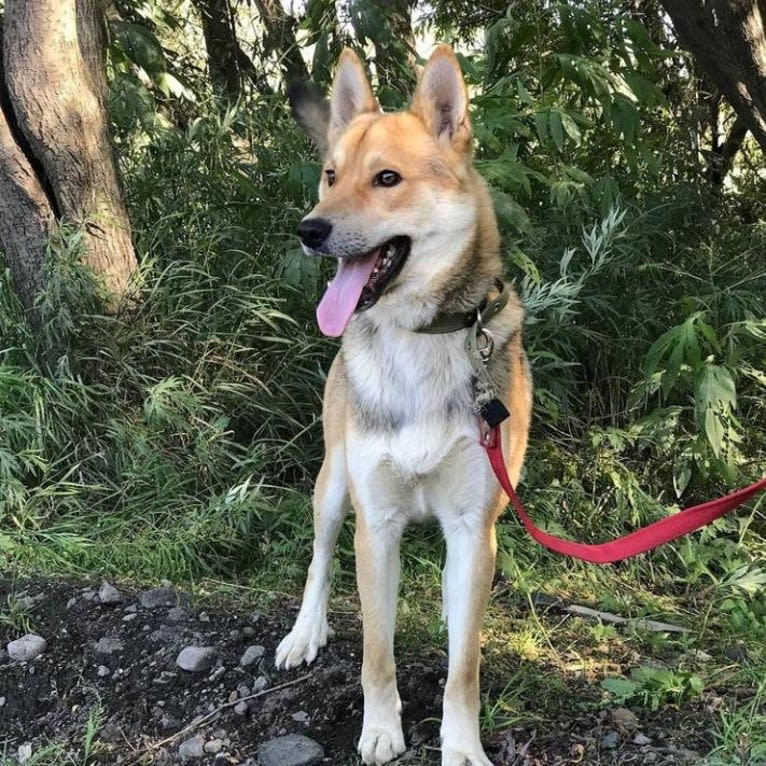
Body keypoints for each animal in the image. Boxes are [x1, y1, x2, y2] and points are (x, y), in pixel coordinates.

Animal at [276, 45, 536, 764]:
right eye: (330, 176)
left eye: (386, 178)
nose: (309, 229)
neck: (422, 336)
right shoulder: (377, 526)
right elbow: (376, 651)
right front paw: (381, 729)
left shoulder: (474, 526)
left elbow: (464, 665)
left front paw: (462, 744)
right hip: (334, 484)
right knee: (318, 559)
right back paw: (304, 632)